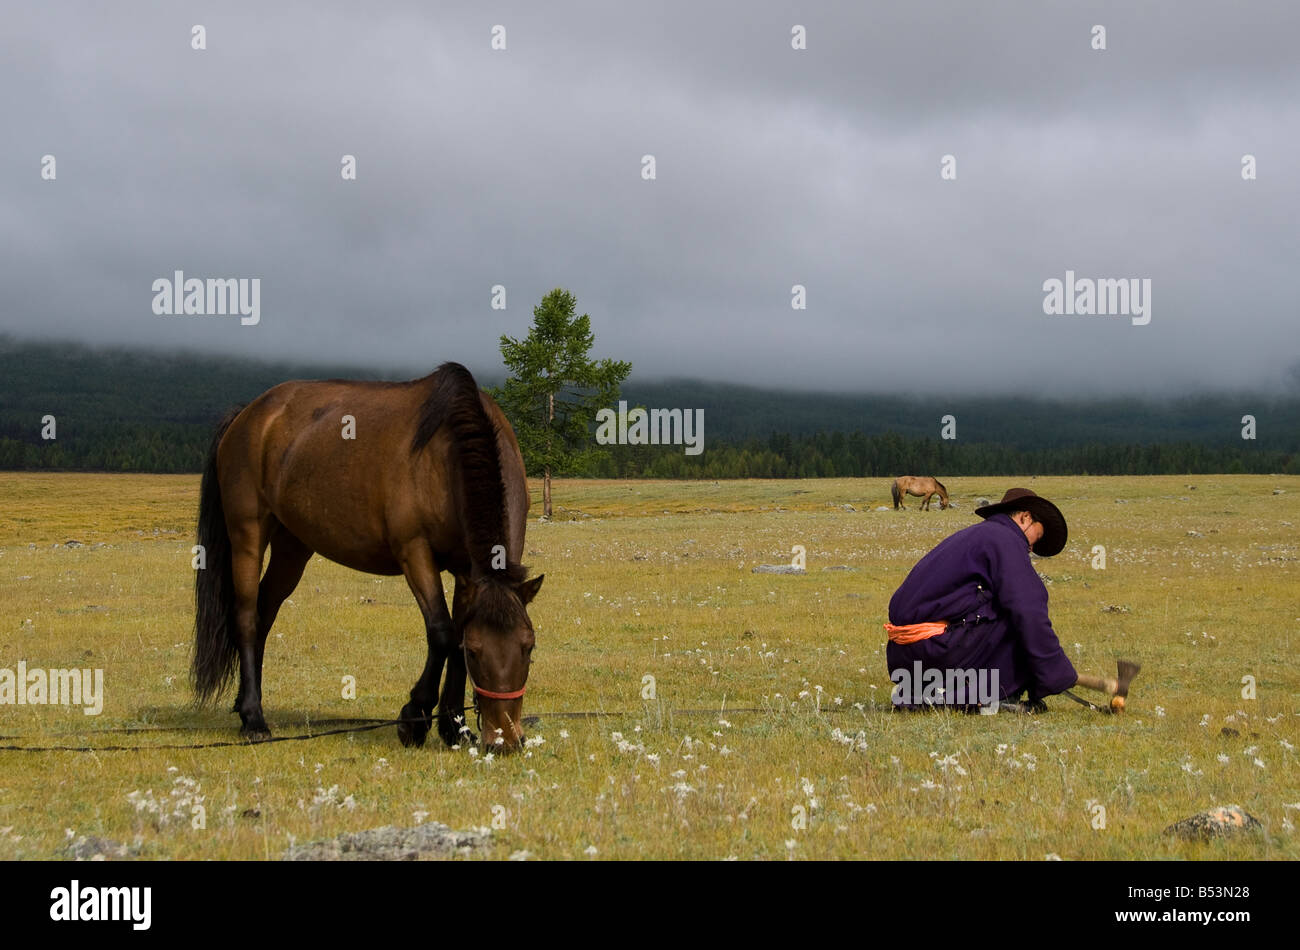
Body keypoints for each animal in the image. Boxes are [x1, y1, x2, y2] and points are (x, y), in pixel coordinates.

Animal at [191, 362, 544, 752]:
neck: (446, 455)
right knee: (246, 618)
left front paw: (455, 726)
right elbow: (442, 634)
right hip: (247, 535)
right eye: (478, 653)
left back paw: (245, 704)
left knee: (264, 613)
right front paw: (414, 719)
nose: (505, 739)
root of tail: (249, 414)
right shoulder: (415, 553)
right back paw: (254, 719)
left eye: (529, 648)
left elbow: (456, 637)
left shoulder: (467, 571)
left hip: (292, 546)